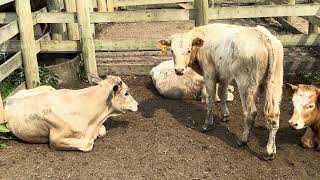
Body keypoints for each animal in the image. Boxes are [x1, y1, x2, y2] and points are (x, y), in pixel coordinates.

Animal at [0, 75, 138, 151]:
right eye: (126, 93)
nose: (137, 104)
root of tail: (9, 98)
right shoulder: (55, 139)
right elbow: (88, 143)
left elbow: (102, 130)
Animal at [159, 23, 284, 160]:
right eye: (172, 51)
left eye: (188, 50)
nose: (179, 70)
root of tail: (262, 36)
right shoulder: (224, 76)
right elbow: (222, 94)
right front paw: (225, 115)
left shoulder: (209, 76)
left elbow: (211, 100)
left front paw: (207, 124)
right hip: (275, 84)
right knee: (274, 116)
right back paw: (271, 150)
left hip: (246, 84)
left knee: (251, 113)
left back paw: (243, 140)